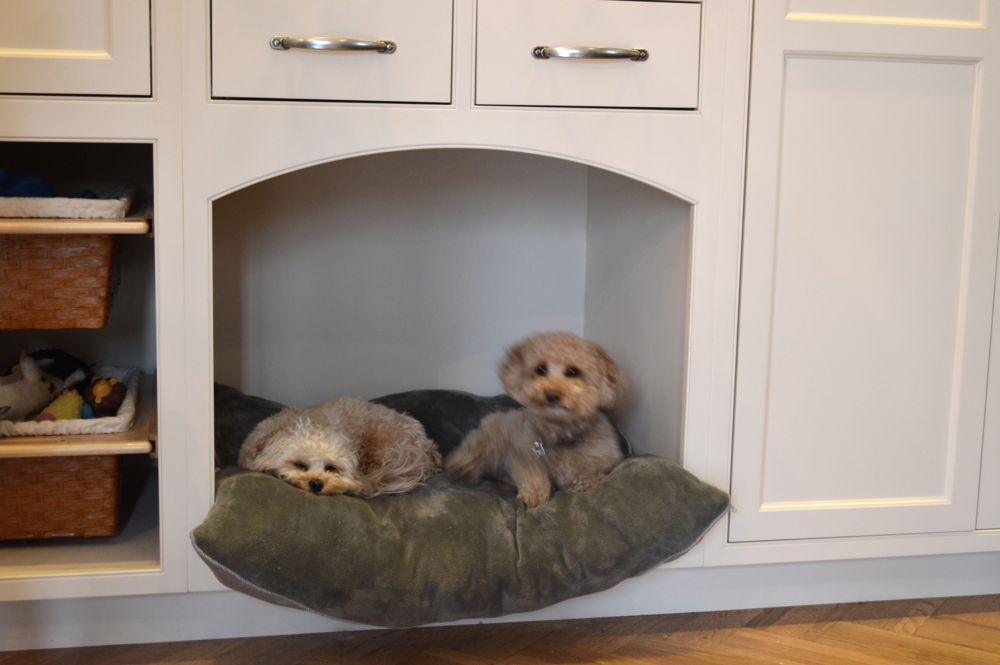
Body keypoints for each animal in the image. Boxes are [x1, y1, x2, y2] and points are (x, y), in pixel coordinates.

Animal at [446, 332, 624, 508]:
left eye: (573, 372)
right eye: (541, 369)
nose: (552, 394)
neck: (561, 433)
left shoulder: (603, 463)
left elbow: (594, 476)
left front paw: (584, 484)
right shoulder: (521, 453)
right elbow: (533, 473)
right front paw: (534, 494)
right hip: (493, 439)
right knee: (469, 455)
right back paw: (463, 467)